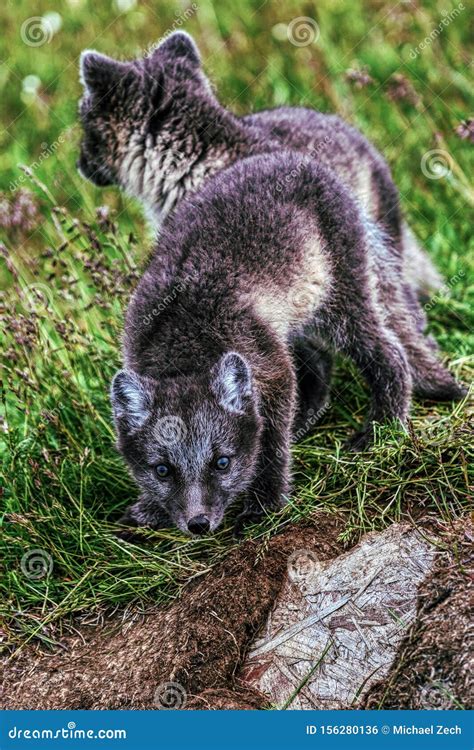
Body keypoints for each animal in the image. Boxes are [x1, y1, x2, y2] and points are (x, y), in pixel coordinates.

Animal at [110, 153, 462, 536]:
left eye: (221, 462)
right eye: (162, 470)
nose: (198, 524)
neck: (184, 349)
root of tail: (298, 159)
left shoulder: (271, 368)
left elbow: (269, 442)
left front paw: (264, 505)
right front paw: (151, 509)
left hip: (341, 300)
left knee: (390, 352)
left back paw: (381, 426)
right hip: (297, 317)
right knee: (321, 360)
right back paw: (306, 418)